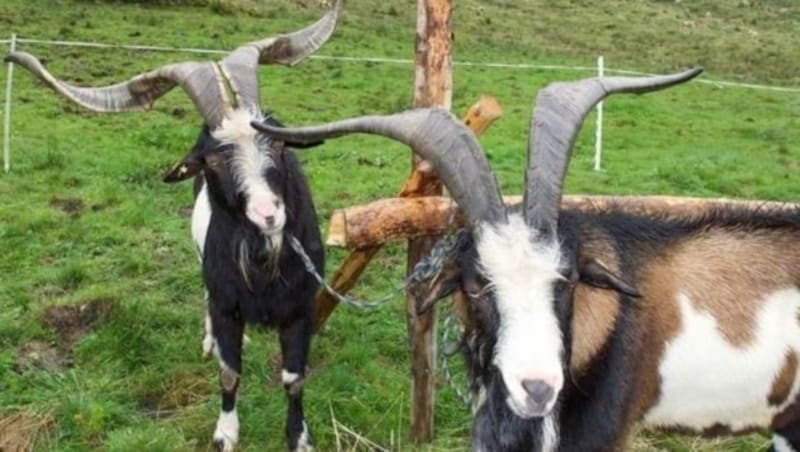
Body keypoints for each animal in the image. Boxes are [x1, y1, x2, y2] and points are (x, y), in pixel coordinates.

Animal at [7, 1, 342, 450]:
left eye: (276, 141)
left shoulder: (301, 308)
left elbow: (293, 379)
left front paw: (299, 437)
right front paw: (225, 433)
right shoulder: (226, 303)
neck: (265, 262)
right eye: (212, 158)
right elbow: (229, 372)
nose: (268, 213)